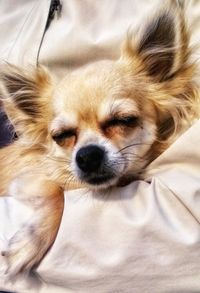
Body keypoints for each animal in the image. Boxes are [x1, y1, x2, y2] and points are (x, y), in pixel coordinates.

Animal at [0, 2, 199, 274]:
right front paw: (30, 243)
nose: (87, 156)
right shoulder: (26, 179)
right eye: (62, 136)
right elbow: (55, 191)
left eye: (124, 120)